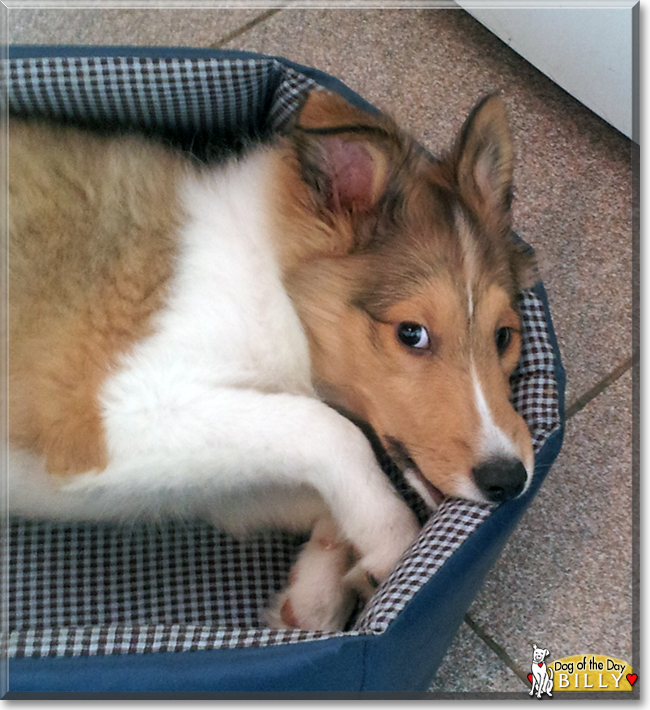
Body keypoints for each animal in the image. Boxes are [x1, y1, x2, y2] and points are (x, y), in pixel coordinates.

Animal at [6, 90, 532, 636]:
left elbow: (314, 489)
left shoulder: (196, 484)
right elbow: (333, 432)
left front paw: (315, 596)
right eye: (412, 333)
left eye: (503, 336)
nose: (508, 480)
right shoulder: (109, 416)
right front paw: (393, 544)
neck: (273, 290)